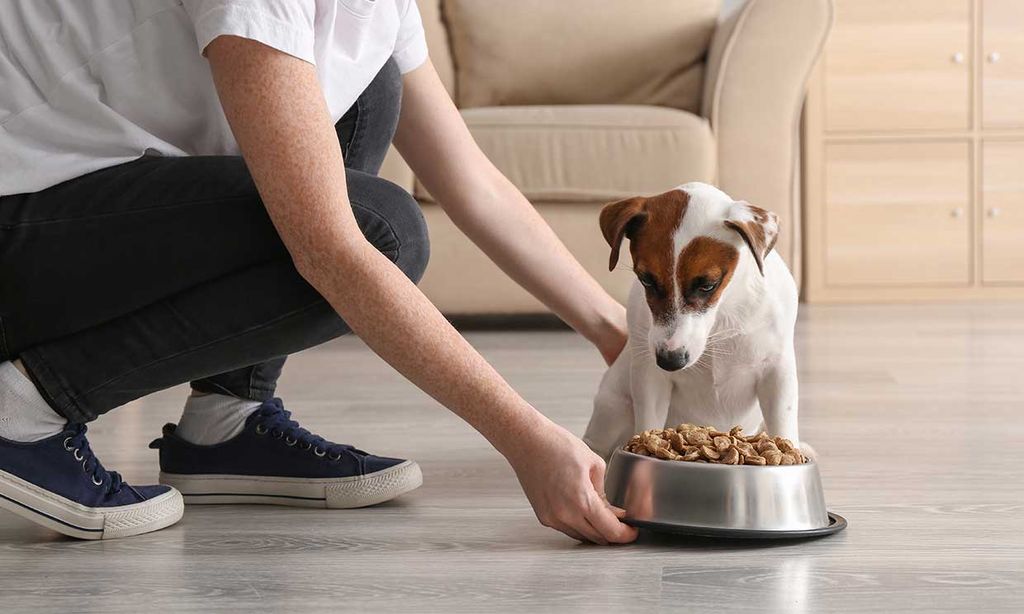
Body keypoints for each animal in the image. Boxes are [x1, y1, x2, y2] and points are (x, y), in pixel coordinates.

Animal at [585, 182, 798, 460]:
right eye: (646, 279)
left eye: (708, 285)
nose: (670, 361)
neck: (722, 316)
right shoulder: (650, 377)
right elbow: (648, 424)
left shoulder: (777, 372)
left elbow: (783, 426)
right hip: (614, 407)